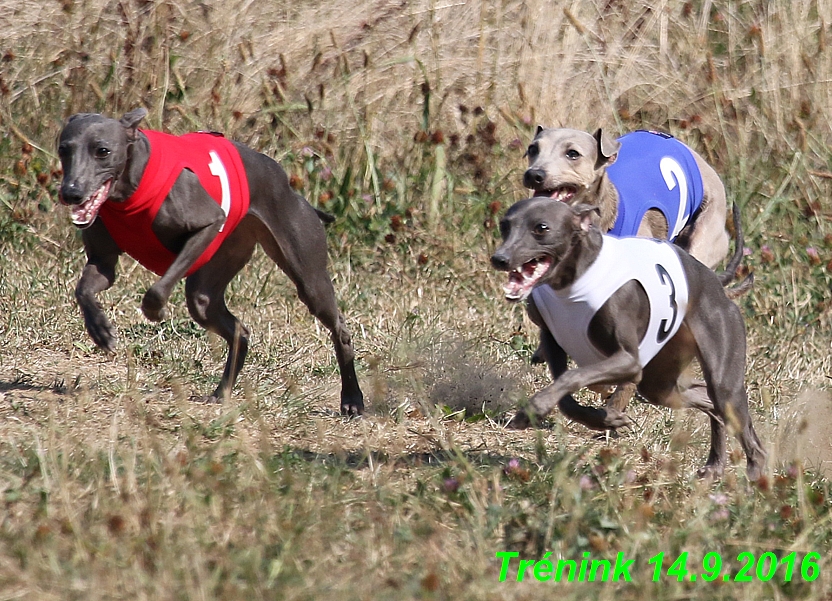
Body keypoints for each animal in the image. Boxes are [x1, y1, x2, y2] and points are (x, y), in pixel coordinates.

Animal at [58, 106, 364, 412]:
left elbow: (156, 291)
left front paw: (155, 312)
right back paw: (222, 391)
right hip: (210, 287)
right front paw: (100, 330)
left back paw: (352, 399)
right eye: (63, 149)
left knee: (339, 327)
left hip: (308, 278)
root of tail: (289, 185)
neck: (130, 188)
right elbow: (83, 290)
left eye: (103, 151)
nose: (70, 193)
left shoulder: (208, 224)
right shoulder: (103, 261)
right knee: (237, 329)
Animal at [488, 199, 768, 480]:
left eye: (541, 228)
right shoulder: (552, 340)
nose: (499, 259)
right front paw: (602, 419)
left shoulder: (629, 361)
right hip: (660, 384)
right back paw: (715, 465)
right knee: (709, 403)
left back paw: (754, 474)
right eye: (504, 225)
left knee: (737, 421)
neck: (575, 279)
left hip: (721, 375)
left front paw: (536, 408)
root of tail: (717, 284)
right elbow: (566, 397)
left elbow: (572, 377)